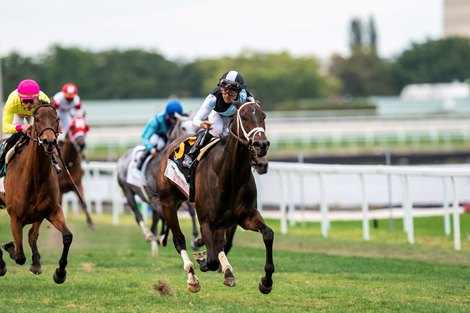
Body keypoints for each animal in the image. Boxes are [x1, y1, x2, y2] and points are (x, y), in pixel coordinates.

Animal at [0, 103, 72, 282]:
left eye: (57, 119)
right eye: (37, 119)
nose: (49, 142)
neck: (34, 177)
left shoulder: (51, 210)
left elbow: (67, 236)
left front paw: (59, 273)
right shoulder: (15, 218)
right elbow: (19, 256)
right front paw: (9, 247)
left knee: (33, 234)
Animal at [116, 114, 201, 256]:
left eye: (195, 126)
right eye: (183, 127)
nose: (193, 138)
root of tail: (123, 157)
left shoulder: (180, 196)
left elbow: (191, 212)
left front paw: (195, 240)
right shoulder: (156, 199)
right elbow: (164, 217)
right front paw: (163, 237)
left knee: (155, 221)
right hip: (128, 192)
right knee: (137, 213)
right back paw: (149, 235)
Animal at [155, 100, 272, 292]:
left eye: (263, 116)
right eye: (243, 116)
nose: (261, 144)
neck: (230, 175)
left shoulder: (245, 216)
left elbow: (268, 234)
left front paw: (266, 281)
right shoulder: (205, 220)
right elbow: (211, 260)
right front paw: (202, 260)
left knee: (219, 244)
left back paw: (228, 272)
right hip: (168, 203)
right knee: (179, 240)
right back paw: (192, 278)